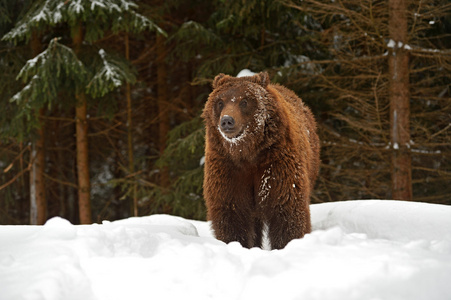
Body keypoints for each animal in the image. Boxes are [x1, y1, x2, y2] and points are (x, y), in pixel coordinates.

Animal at [203, 71, 320, 250]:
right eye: (220, 102)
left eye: (244, 101)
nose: (227, 120)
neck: (247, 153)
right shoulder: (228, 169)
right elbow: (231, 213)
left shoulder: (276, 164)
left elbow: (287, 211)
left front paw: (286, 244)